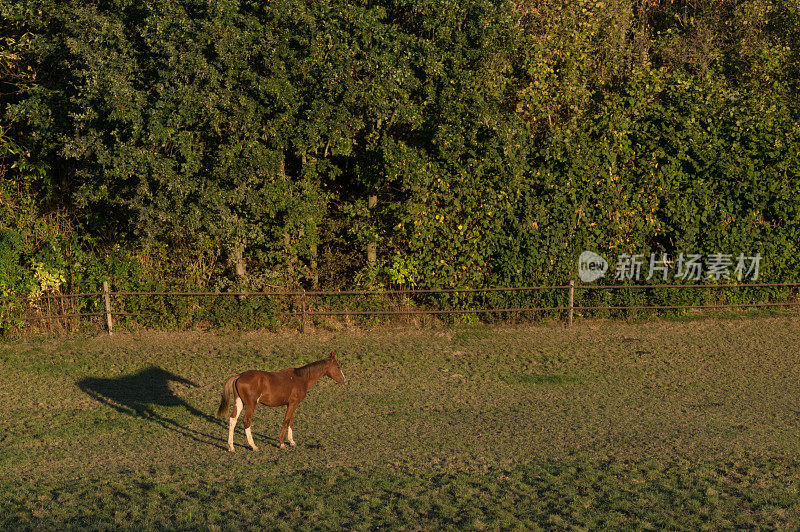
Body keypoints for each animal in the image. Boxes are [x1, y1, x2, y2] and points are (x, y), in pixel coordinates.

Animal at [217, 356, 346, 450]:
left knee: (233, 419)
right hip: (250, 404)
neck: (300, 378)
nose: (344, 380)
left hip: (240, 402)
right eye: (338, 366)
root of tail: (239, 376)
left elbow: (290, 421)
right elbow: (286, 420)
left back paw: (231, 446)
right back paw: (253, 445)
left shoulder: (292, 404)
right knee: (246, 420)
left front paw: (292, 441)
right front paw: (282, 443)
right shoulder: (293, 404)